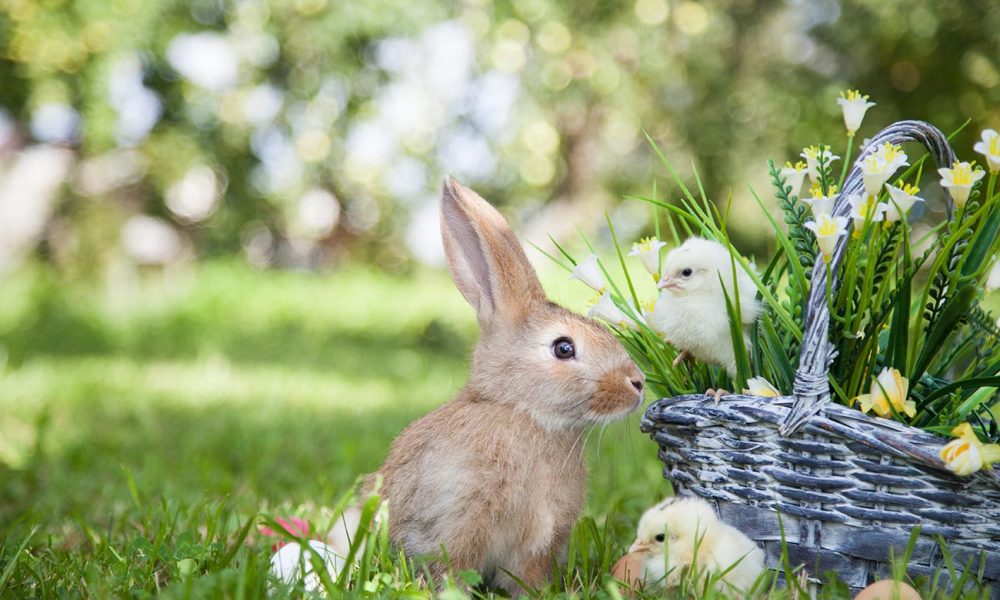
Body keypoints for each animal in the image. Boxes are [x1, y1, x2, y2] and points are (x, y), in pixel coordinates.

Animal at [369, 177, 646, 594]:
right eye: (563, 348)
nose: (638, 383)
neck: (522, 413)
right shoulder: (457, 522)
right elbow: (452, 568)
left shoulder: (537, 544)